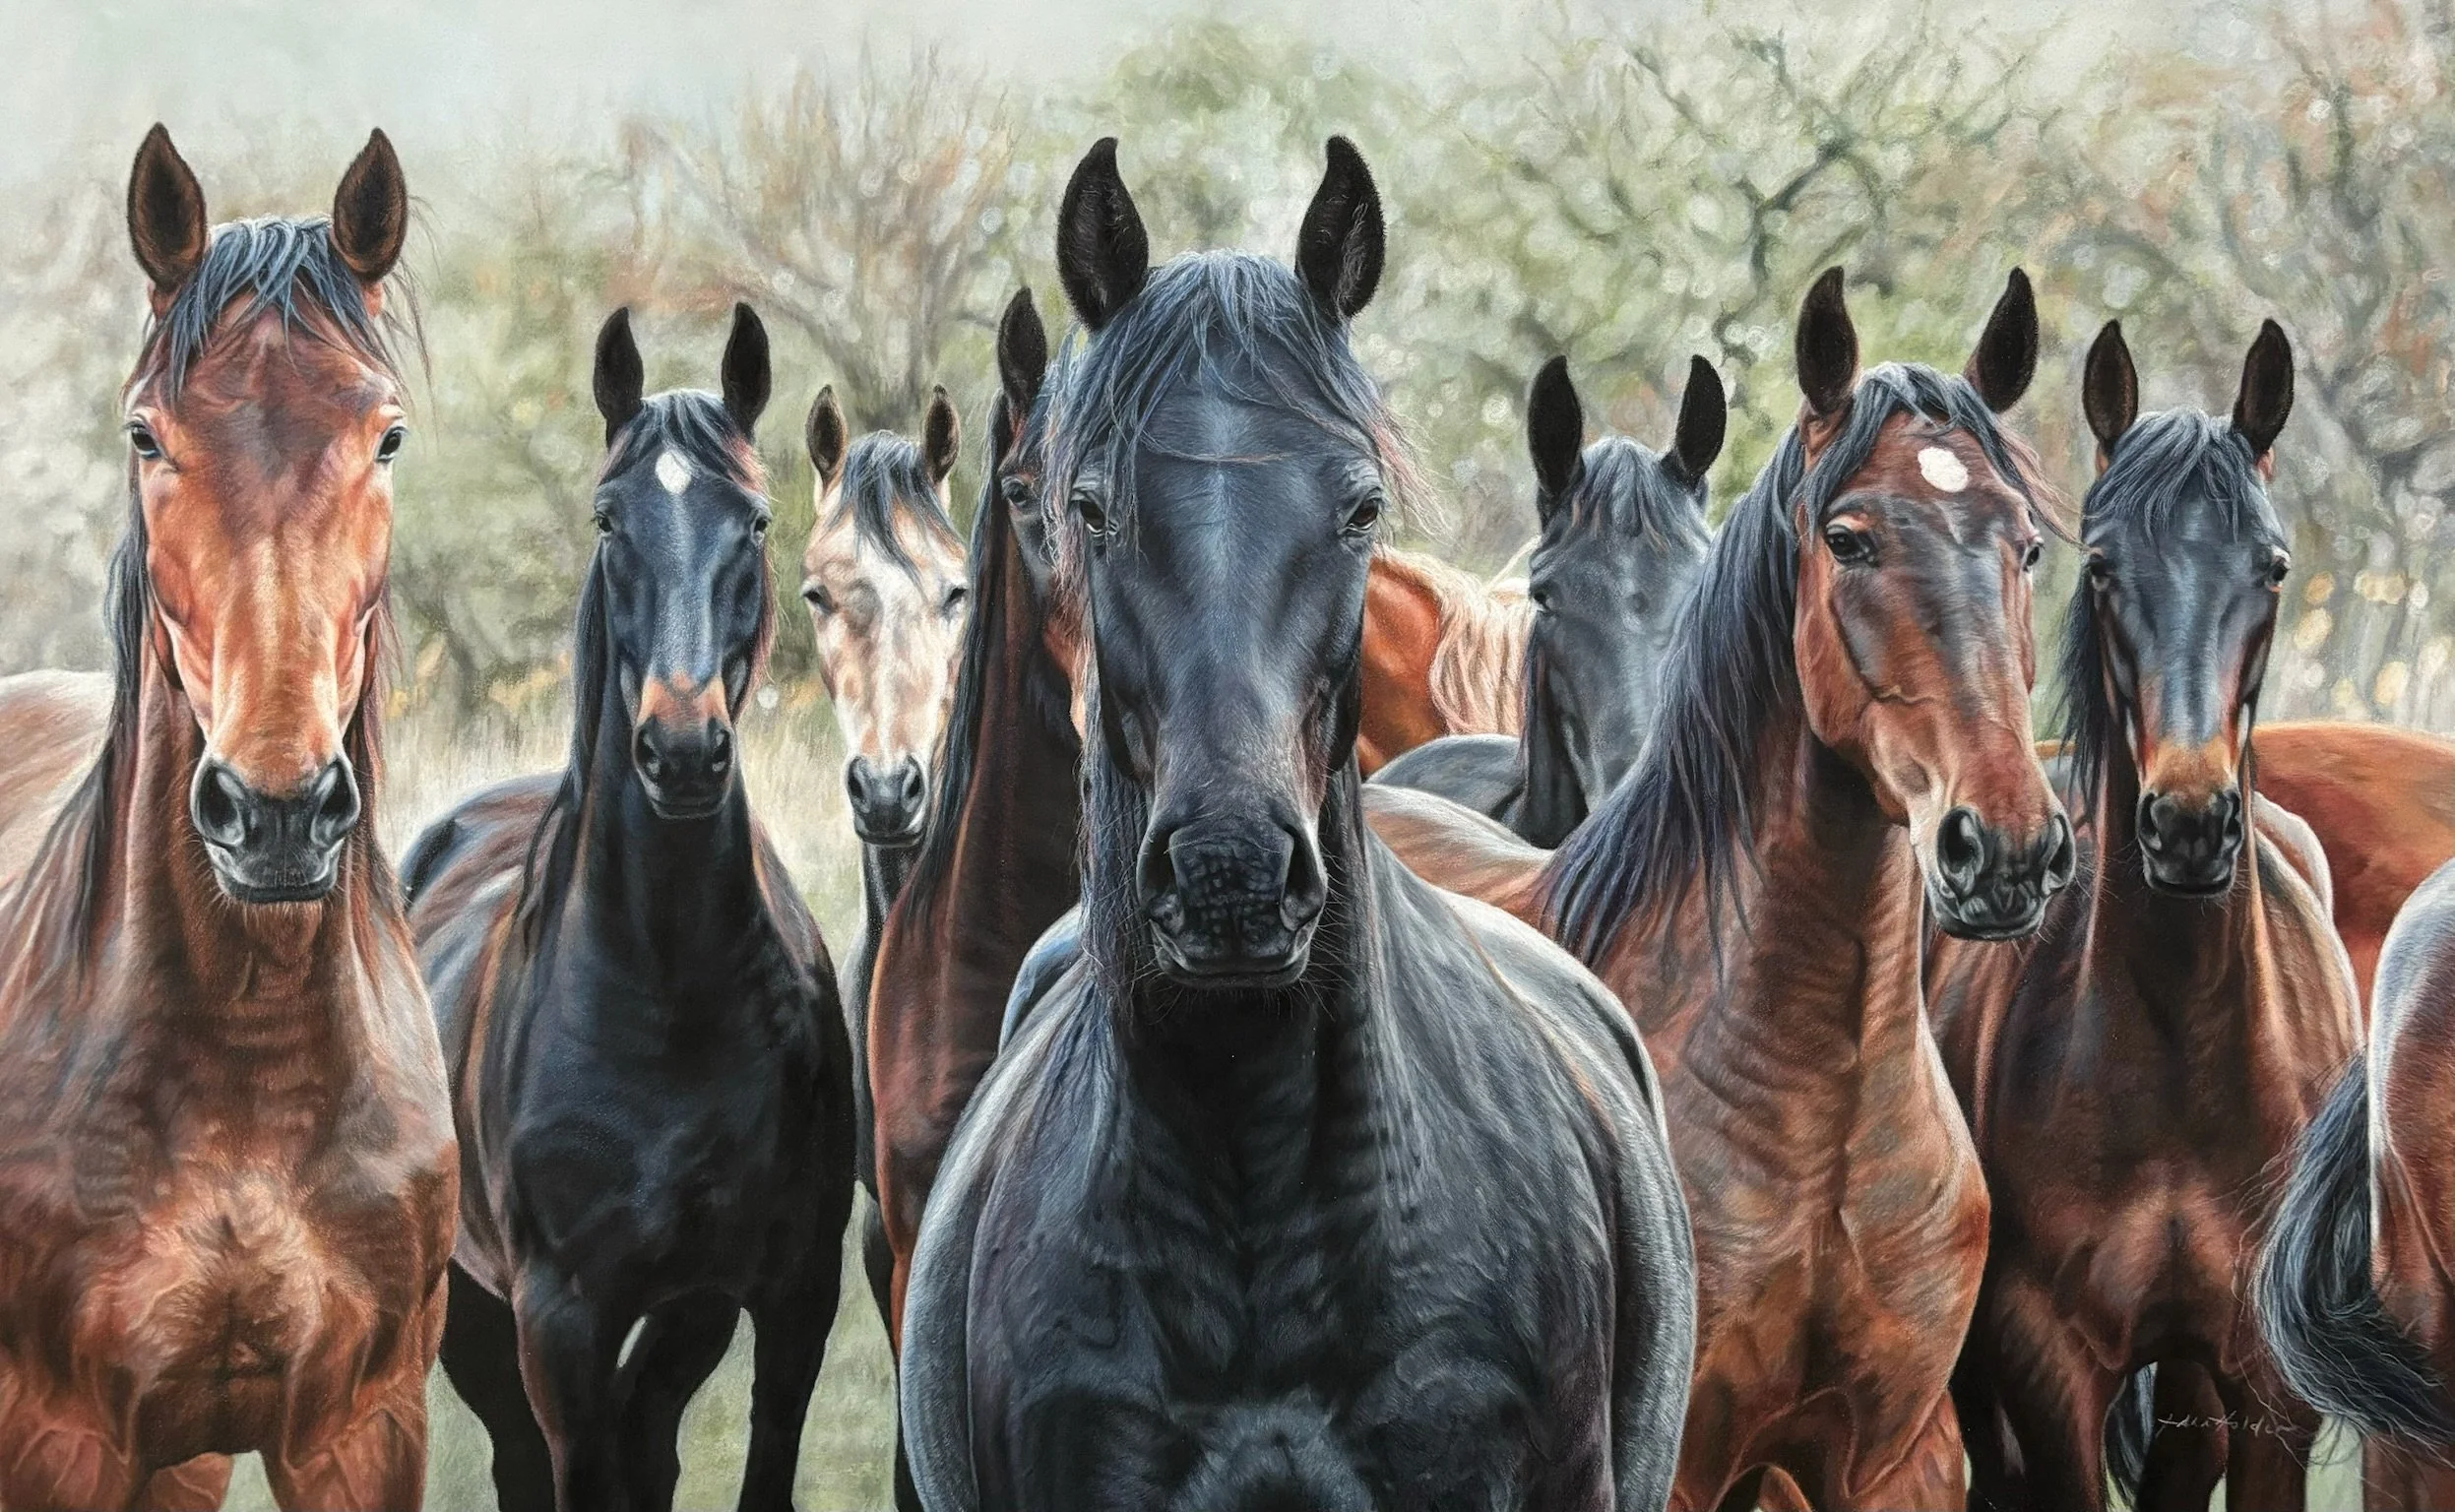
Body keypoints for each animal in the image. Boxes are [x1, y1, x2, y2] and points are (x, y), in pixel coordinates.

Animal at [398, 306, 853, 1512]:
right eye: (610, 519)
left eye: (753, 519)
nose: (682, 752)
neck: (666, 991)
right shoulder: (562, 1319)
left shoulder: (786, 1295)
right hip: (473, 1312)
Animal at [1926, 319, 2356, 1511]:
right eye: (2105, 565)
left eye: (2272, 567)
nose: (2189, 823)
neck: (2179, 1048)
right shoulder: (2047, 1369)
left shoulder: (2268, 1389)